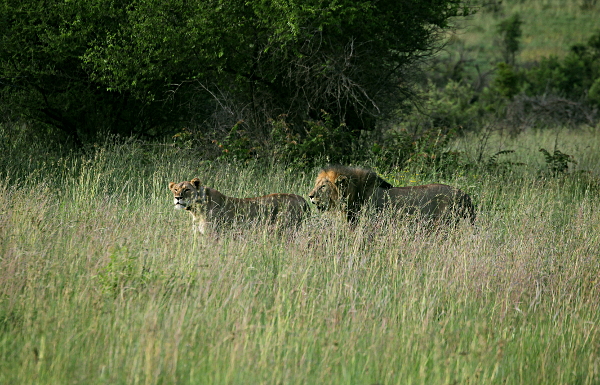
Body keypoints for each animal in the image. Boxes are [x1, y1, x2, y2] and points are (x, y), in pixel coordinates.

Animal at [169, 178, 310, 234]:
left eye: (187, 189)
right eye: (175, 189)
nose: (178, 198)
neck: (196, 210)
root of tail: (301, 198)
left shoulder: (212, 235)